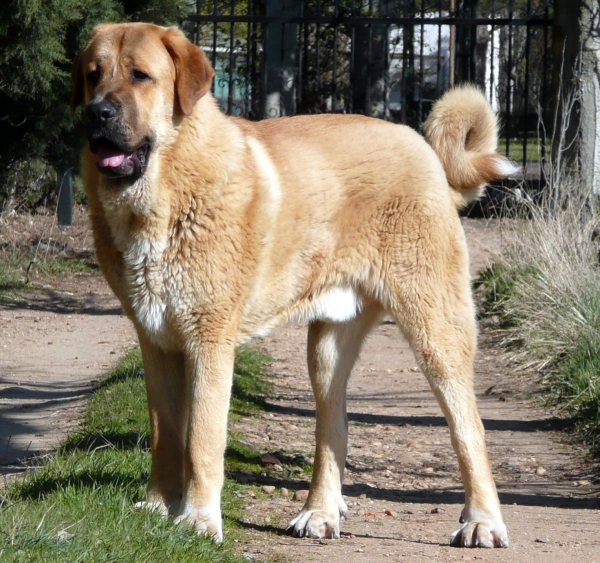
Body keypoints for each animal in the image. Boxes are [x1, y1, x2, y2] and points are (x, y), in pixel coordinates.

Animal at [74, 23, 516, 552]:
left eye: (141, 75)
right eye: (94, 75)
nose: (97, 112)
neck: (164, 194)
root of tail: (425, 150)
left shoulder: (209, 341)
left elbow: (201, 439)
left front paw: (199, 520)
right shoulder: (156, 342)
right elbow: (165, 434)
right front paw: (159, 508)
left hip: (436, 332)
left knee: (468, 429)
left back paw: (483, 521)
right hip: (326, 350)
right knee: (333, 430)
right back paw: (321, 513)